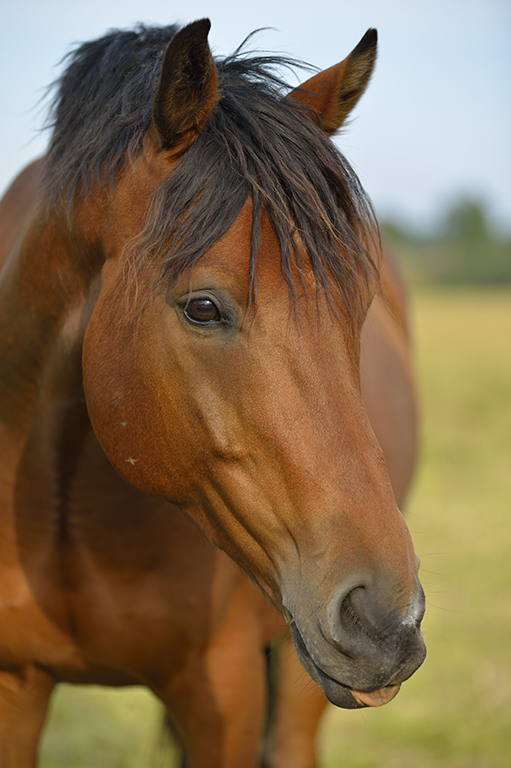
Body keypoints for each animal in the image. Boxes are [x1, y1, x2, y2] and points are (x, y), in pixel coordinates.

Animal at [0, 19, 426, 767]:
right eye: (202, 307)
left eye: (358, 303)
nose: (388, 622)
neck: (66, 506)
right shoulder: (13, 686)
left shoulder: (223, 689)